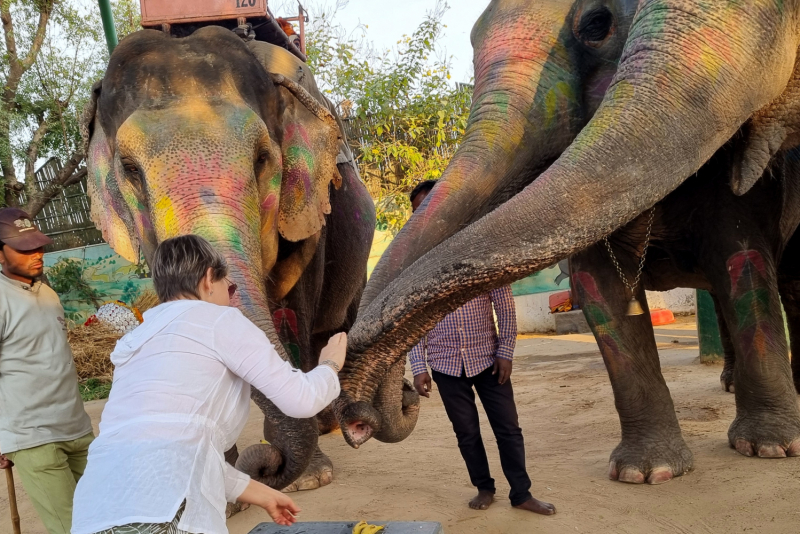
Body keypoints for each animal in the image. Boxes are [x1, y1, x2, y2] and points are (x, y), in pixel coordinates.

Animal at [83, 25, 376, 494]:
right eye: (129, 170)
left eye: (261, 159)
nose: (267, 464)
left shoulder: (310, 223)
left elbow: (292, 310)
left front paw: (308, 480)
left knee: (333, 324)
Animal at [332, 0, 800, 486]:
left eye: (596, 24)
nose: (368, 416)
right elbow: (599, 290)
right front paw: (645, 473)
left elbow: (741, 263)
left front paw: (769, 448)